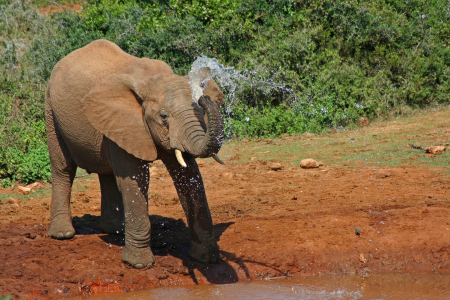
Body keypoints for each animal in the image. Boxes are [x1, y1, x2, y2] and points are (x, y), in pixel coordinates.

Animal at [45, 39, 225, 268]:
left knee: (107, 173)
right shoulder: (124, 122)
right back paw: (63, 234)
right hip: (50, 108)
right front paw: (139, 265)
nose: (203, 98)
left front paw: (206, 260)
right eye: (164, 116)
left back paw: (113, 230)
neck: (151, 79)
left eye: (200, 110)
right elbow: (135, 181)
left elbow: (188, 178)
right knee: (63, 168)